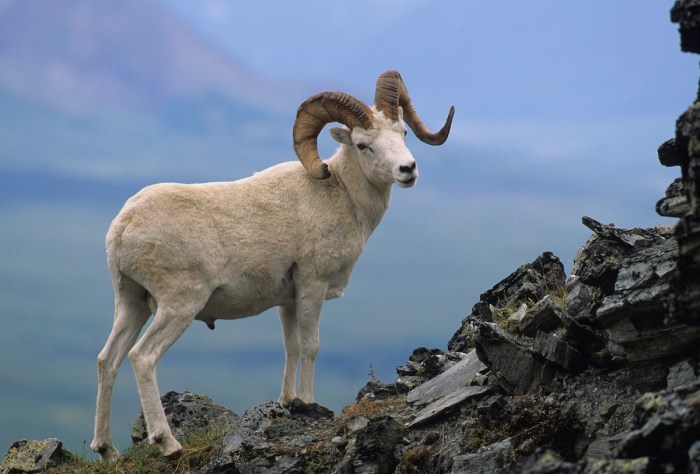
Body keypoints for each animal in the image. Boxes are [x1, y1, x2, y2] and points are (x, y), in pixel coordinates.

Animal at [90, 70, 454, 462]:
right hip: (178, 306)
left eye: (402, 133)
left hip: (132, 303)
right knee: (142, 357)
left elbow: (291, 347)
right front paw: (308, 403)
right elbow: (310, 345)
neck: (341, 194)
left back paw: (107, 450)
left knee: (108, 360)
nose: (408, 170)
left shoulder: (288, 300)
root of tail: (123, 226)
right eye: (362, 145)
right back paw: (168, 443)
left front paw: (287, 402)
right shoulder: (312, 286)